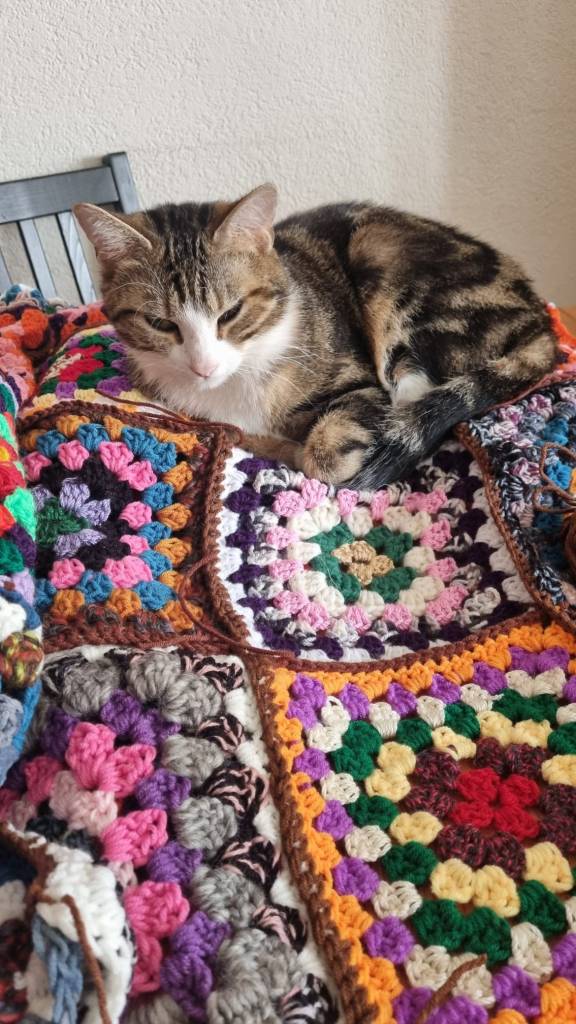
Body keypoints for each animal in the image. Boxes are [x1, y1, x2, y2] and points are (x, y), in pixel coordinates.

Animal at [74, 185, 557, 487]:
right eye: (161, 324)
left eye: (231, 313)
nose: (203, 367)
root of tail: (539, 316)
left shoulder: (358, 382)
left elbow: (322, 453)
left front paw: (304, 447)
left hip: (385, 255)